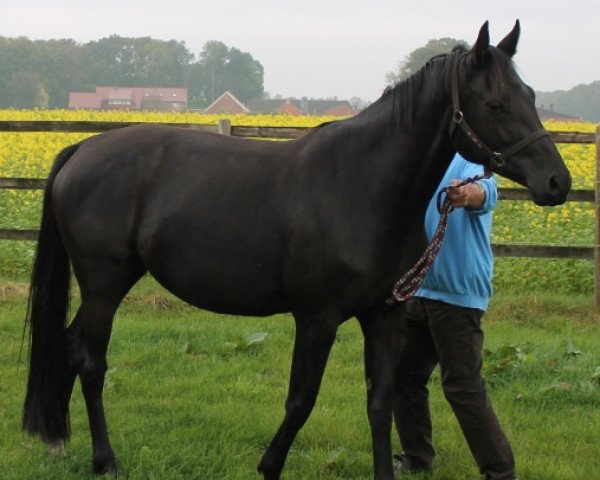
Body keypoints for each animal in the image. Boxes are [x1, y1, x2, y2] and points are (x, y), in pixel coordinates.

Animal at [21, 21, 568, 480]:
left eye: (529, 95)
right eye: (495, 104)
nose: (557, 182)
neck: (359, 185)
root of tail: (83, 149)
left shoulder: (385, 316)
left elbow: (381, 402)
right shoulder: (317, 318)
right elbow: (300, 401)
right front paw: (269, 467)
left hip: (110, 284)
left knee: (70, 346)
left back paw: (59, 441)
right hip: (103, 285)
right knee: (92, 361)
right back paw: (105, 460)